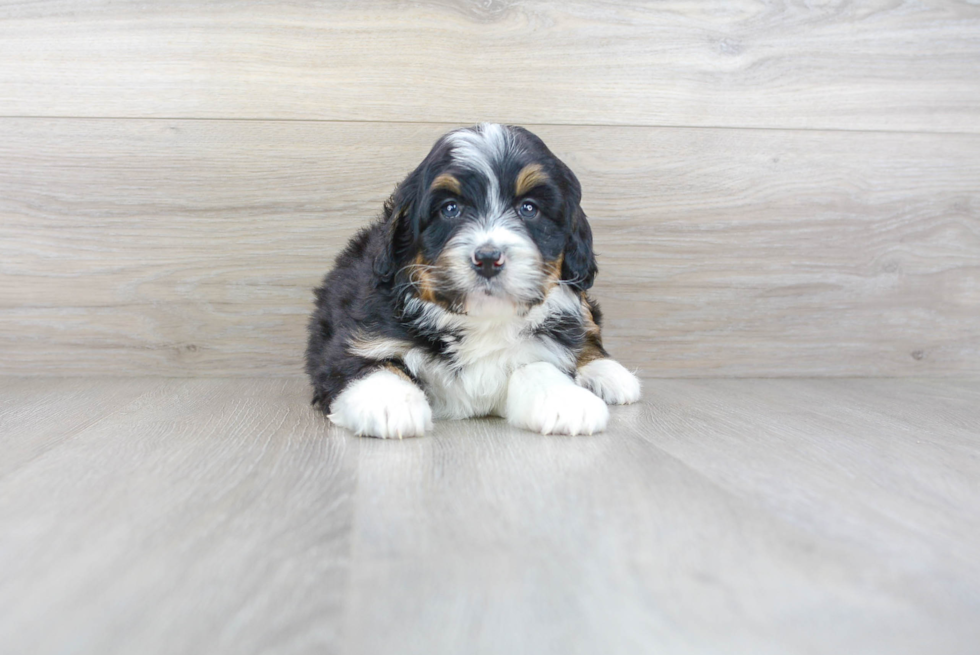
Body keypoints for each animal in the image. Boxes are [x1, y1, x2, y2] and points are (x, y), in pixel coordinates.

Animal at [308, 124, 644, 440]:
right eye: (450, 209)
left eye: (529, 208)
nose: (488, 258)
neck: (482, 320)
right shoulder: (358, 338)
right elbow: (372, 365)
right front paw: (388, 403)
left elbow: (539, 364)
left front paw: (566, 401)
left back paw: (609, 374)